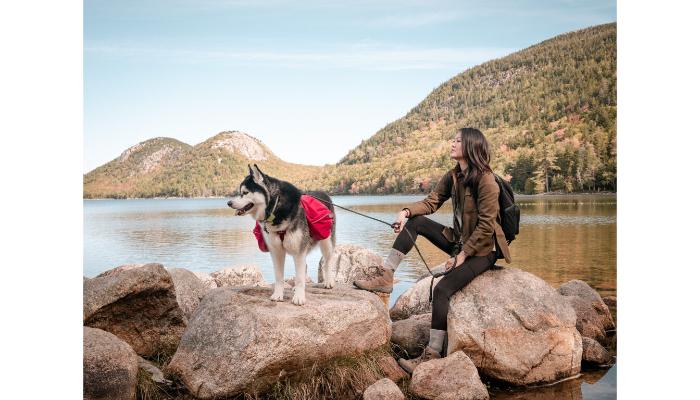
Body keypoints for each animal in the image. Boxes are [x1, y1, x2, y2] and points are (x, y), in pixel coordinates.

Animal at [227, 164, 336, 304]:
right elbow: (279, 277)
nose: (229, 203)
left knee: (327, 262)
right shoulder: (276, 251)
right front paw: (278, 295)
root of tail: (323, 193)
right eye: (239, 192)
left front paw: (299, 297)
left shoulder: (298, 250)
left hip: (326, 242)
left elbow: (299, 278)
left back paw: (328, 282)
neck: (275, 207)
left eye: (245, 193)